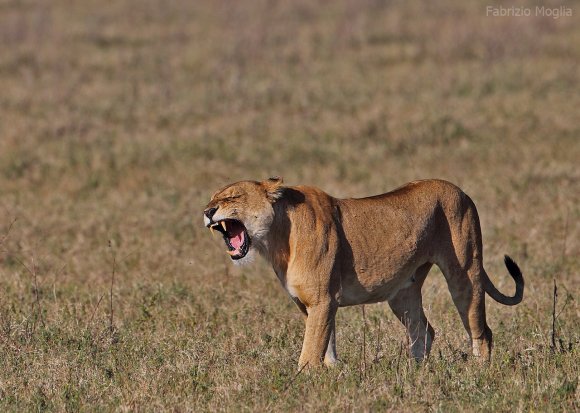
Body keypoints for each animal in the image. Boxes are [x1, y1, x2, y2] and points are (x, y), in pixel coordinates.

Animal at [204, 177, 524, 366]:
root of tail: (461, 190)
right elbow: (326, 342)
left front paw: (303, 382)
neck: (277, 239)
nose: (207, 212)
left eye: (232, 198)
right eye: (212, 199)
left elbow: (311, 348)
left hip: (465, 273)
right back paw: (416, 373)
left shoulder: (322, 299)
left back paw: (478, 372)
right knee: (424, 331)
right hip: (403, 293)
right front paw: (333, 374)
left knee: (481, 330)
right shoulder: (312, 305)